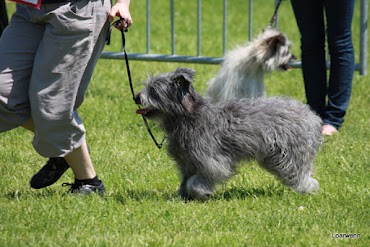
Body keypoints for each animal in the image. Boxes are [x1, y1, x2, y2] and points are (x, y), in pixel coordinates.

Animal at [134, 67, 322, 201]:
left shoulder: (212, 160)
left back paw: (307, 189)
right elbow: (186, 179)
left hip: (288, 156)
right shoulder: (187, 161)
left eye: (154, 90)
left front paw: (201, 193)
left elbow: (200, 178)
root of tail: (312, 117)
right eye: (147, 86)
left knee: (299, 173)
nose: (136, 97)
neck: (188, 117)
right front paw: (181, 196)